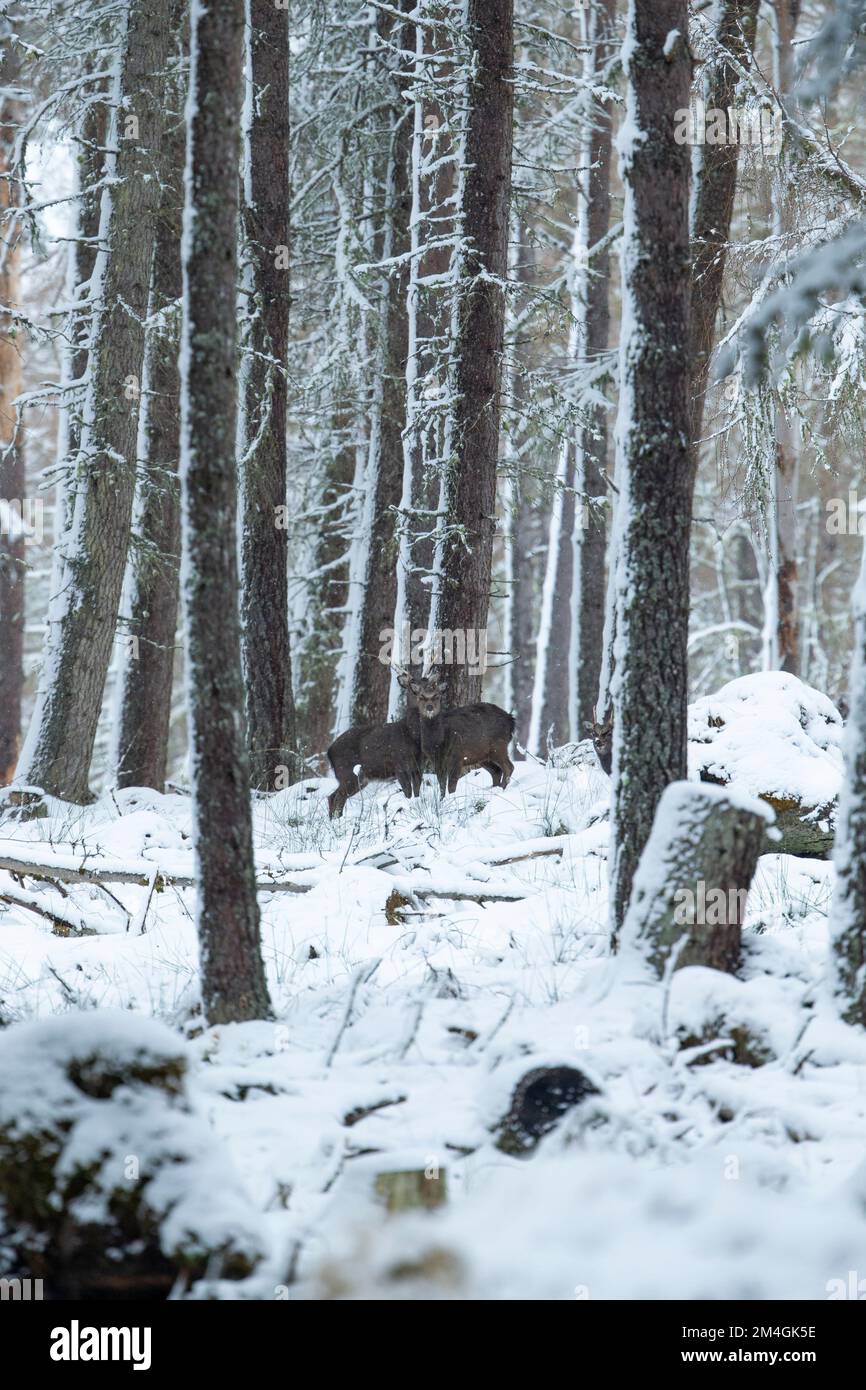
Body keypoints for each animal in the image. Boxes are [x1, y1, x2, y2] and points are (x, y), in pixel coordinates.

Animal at [396, 667, 515, 796]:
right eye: (420, 696)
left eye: (437, 696)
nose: (429, 707)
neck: (437, 741)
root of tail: (511, 720)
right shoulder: (436, 761)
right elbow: (441, 786)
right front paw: (441, 799)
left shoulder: (457, 757)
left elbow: (451, 786)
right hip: (482, 754)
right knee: (496, 770)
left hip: (498, 745)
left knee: (509, 767)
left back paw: (502, 789)